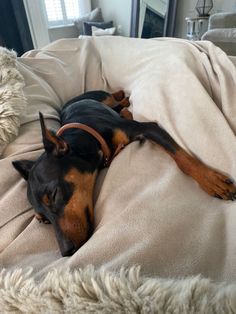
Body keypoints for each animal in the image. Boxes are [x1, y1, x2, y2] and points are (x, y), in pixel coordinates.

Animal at [13, 90, 236, 255]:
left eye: (54, 195)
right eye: (42, 220)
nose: (67, 251)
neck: (85, 135)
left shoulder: (148, 128)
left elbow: (183, 160)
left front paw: (211, 181)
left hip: (106, 100)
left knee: (119, 98)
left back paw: (124, 101)